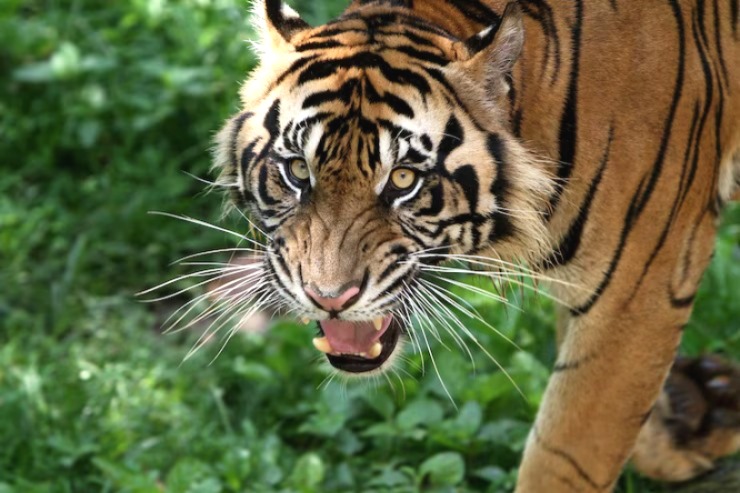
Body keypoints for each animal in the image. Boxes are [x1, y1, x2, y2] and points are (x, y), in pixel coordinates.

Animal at [211, 0, 740, 491]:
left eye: (403, 179)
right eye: (298, 170)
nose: (329, 298)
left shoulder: (638, 289)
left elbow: (567, 451)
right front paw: (691, 421)